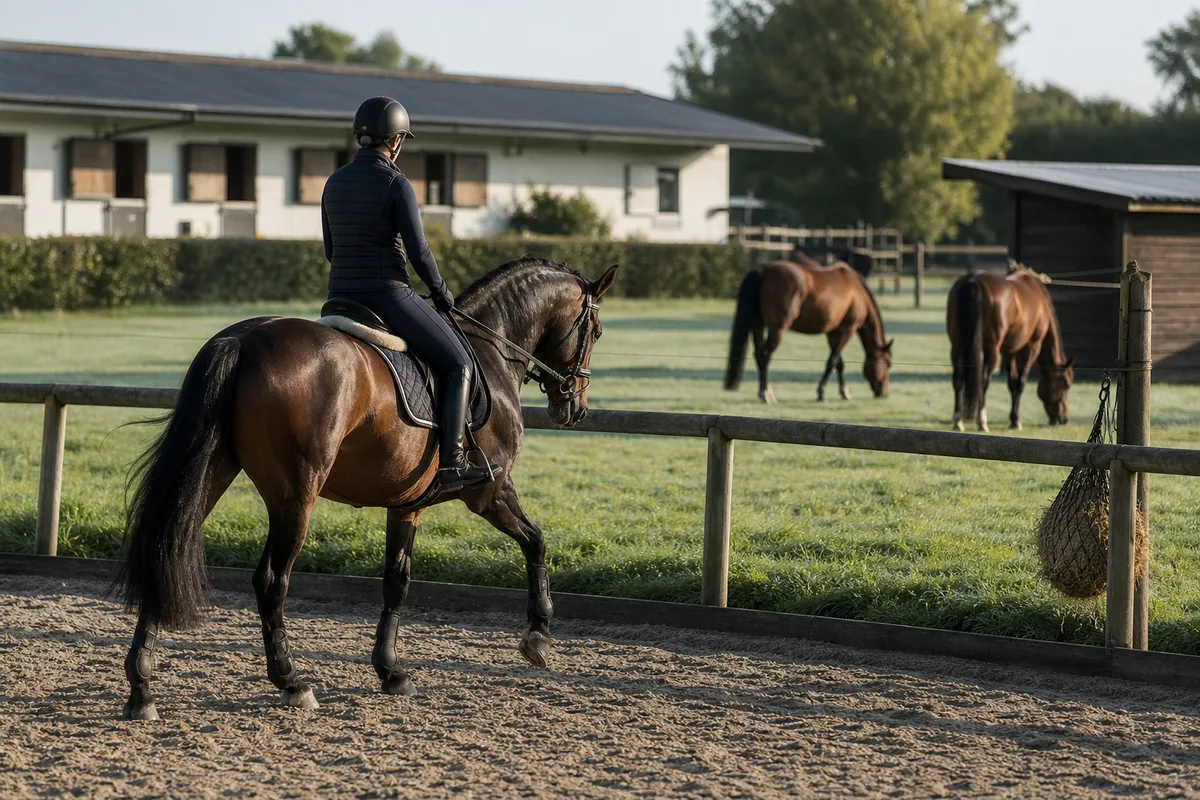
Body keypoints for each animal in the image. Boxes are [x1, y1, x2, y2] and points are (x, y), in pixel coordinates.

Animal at [114, 256, 620, 720]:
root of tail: (242, 340)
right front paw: (538, 636)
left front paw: (390, 671)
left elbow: (397, 582)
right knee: (271, 580)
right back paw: (291, 681)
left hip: (214, 473)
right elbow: (536, 541)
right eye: (595, 331)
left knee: (165, 548)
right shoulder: (490, 491)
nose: (574, 408)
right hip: (295, 495)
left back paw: (142, 688)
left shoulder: (407, 505)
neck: (491, 351)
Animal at [724, 255, 893, 404]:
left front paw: (844, 392)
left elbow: (839, 363)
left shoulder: (833, 333)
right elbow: (832, 361)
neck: (858, 292)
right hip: (777, 329)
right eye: (888, 363)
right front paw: (821, 393)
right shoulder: (847, 329)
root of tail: (763, 270)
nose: (884, 393)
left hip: (758, 326)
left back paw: (767, 392)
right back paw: (765, 394)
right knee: (764, 355)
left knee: (758, 354)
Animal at [946, 266, 1073, 432]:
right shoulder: (1031, 346)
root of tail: (973, 281)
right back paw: (982, 421)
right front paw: (1016, 420)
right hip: (992, 349)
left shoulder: (1008, 351)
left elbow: (1011, 383)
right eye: (1066, 384)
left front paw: (1013, 419)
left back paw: (958, 420)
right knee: (983, 380)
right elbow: (1019, 382)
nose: (1063, 419)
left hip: (957, 345)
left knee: (958, 377)